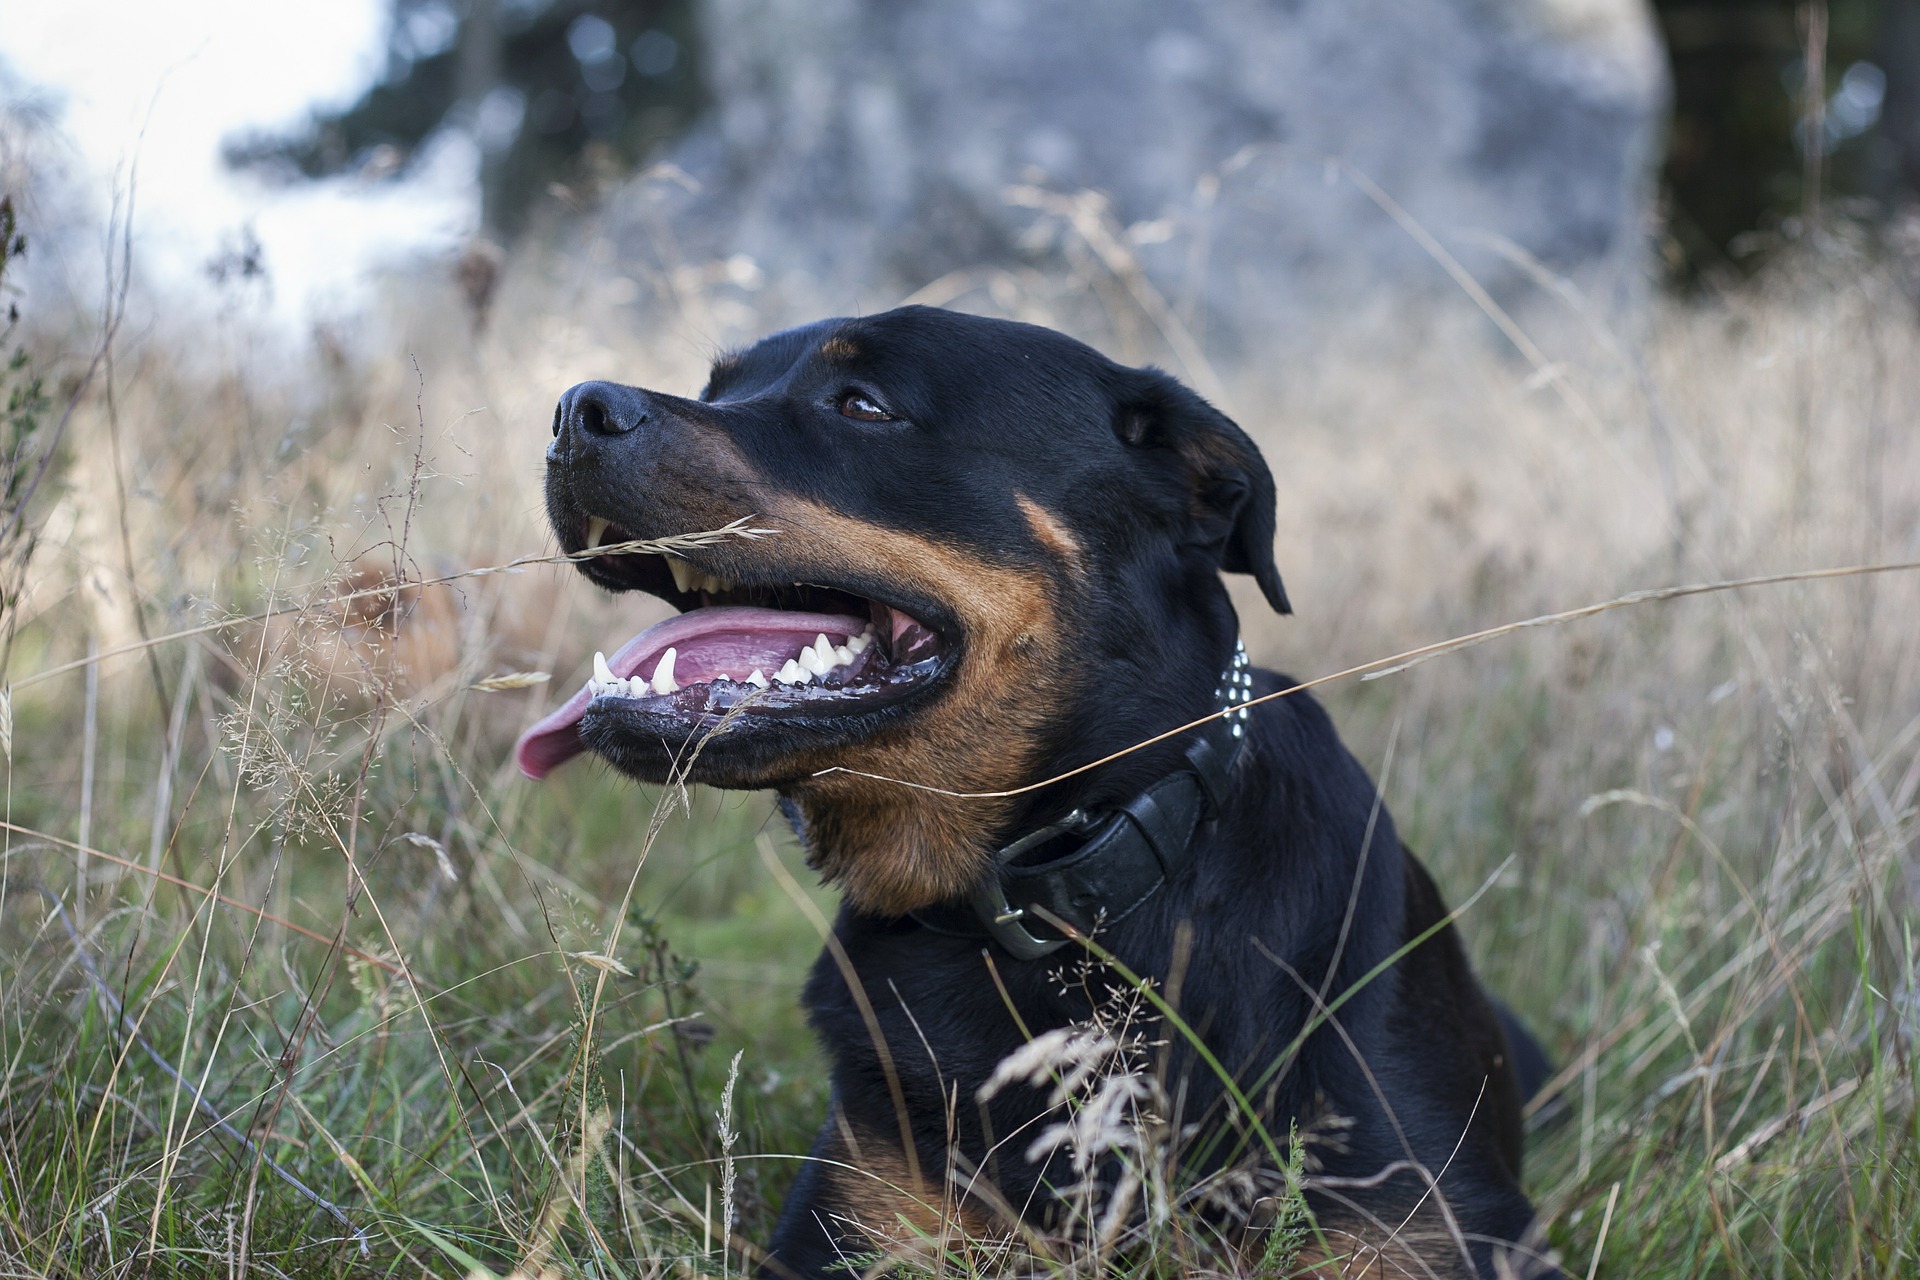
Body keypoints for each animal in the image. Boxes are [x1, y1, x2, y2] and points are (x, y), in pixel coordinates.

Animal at [514, 305, 1559, 1274]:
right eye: (719, 387)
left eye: (863, 405)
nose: (572, 410)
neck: (1064, 898)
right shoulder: (861, 1213)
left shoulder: (1429, 1225)